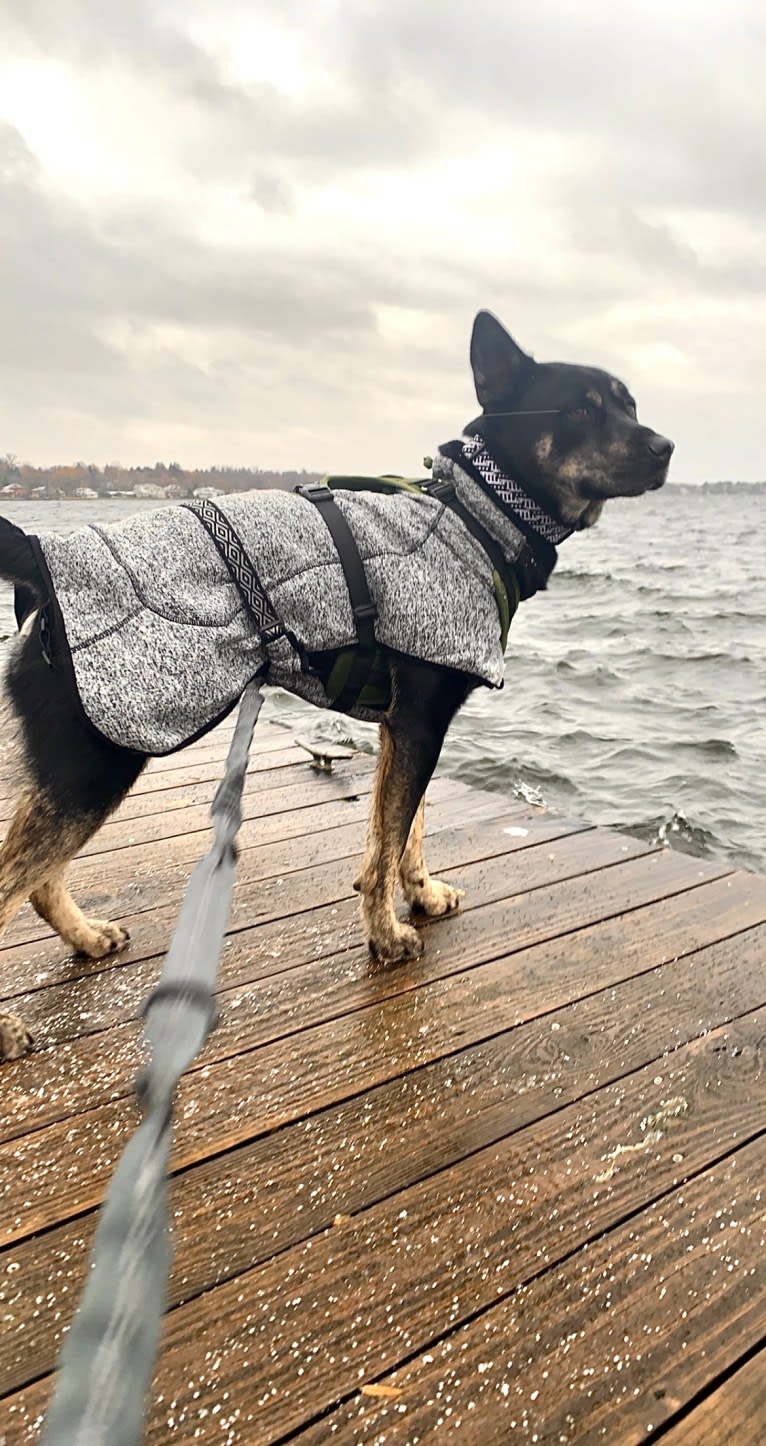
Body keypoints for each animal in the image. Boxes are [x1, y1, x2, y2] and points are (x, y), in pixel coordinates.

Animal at [0, 313, 667, 1064]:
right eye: (581, 409)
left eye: (631, 404)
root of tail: (39, 559)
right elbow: (386, 845)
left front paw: (422, 897)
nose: (666, 448)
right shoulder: (421, 723)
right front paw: (387, 936)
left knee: (38, 882)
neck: (478, 515)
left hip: (73, 773)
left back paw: (87, 937)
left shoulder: (402, 729)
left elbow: (402, 832)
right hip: (95, 765)